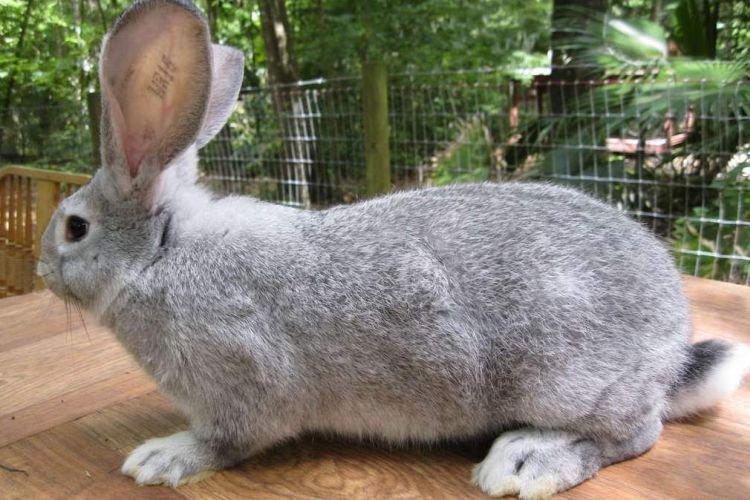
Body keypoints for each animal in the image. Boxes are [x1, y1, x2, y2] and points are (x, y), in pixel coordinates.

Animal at [37, 1, 750, 497]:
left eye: (75, 227)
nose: (42, 268)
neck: (161, 256)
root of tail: (672, 350)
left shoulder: (240, 382)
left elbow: (225, 441)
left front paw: (161, 457)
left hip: (570, 382)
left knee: (635, 433)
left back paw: (527, 463)